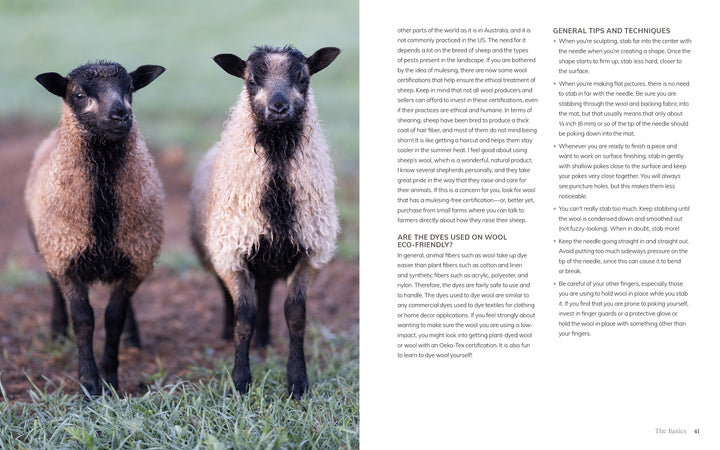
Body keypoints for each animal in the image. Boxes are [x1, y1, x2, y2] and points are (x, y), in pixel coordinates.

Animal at [25, 61, 165, 396]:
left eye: (130, 88)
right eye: (78, 94)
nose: (120, 114)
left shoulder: (135, 261)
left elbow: (114, 317)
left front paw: (111, 379)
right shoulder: (66, 260)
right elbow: (84, 320)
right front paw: (89, 383)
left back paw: (132, 338)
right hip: (46, 243)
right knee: (52, 287)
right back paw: (56, 331)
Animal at [189, 45, 341, 398]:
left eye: (302, 77)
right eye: (252, 80)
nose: (279, 107)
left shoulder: (308, 253)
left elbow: (296, 315)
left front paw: (297, 383)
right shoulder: (233, 253)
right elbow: (244, 317)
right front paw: (240, 382)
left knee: (267, 291)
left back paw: (266, 340)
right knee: (229, 296)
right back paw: (227, 332)